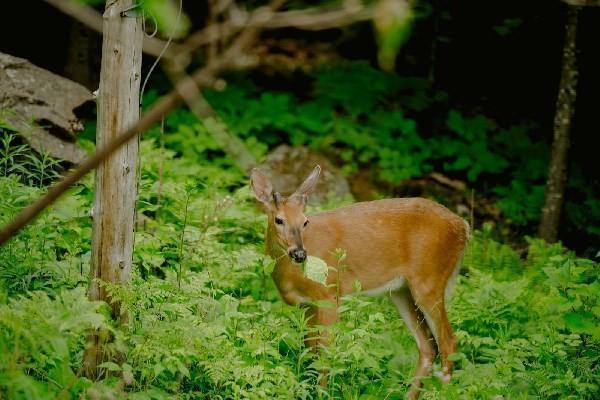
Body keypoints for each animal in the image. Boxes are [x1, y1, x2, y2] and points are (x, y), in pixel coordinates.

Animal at [248, 164, 468, 398]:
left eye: (305, 221)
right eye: (279, 220)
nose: (299, 254)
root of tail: (464, 226)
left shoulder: (329, 294)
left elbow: (325, 353)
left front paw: (323, 393)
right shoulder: (307, 304)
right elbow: (309, 351)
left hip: (429, 280)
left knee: (448, 342)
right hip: (401, 290)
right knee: (428, 345)